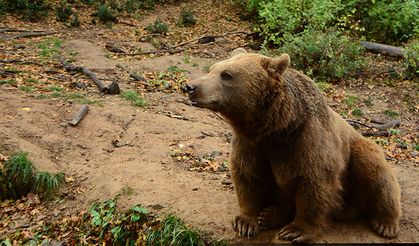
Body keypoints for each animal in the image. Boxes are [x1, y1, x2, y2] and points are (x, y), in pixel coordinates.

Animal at [185, 48, 402, 242]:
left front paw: (295, 230)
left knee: (376, 174)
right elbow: (248, 176)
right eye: (212, 69)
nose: (190, 87)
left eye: (227, 75)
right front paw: (246, 222)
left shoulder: (304, 140)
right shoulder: (251, 144)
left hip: (357, 151)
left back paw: (386, 224)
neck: (275, 127)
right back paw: (271, 215)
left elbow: (313, 181)